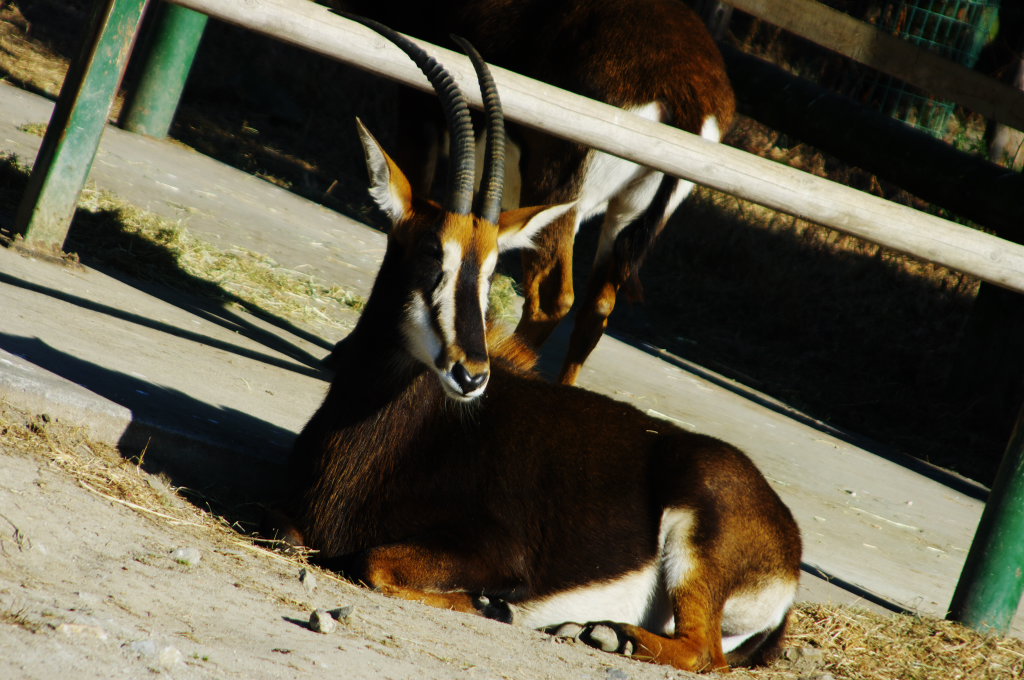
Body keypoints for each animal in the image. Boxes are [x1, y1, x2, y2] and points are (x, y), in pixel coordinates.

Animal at [284, 18, 802, 671]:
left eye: (489, 271)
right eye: (431, 254)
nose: (471, 374)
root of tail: (788, 544)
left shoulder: (497, 550)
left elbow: (373, 561)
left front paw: (490, 604)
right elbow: (297, 536)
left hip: (694, 548)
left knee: (703, 652)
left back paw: (611, 634)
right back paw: (594, 630)